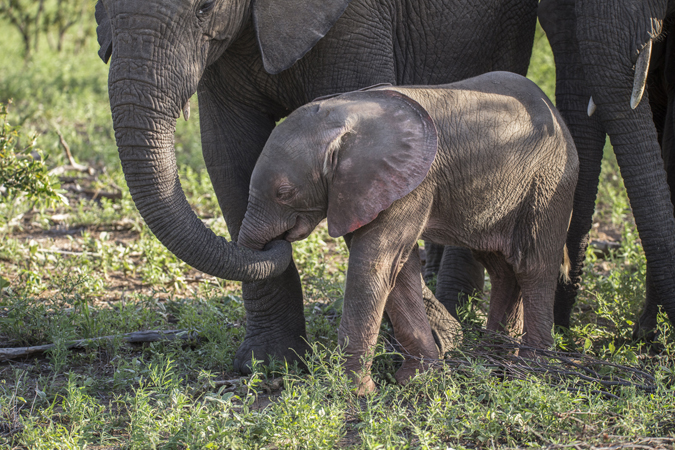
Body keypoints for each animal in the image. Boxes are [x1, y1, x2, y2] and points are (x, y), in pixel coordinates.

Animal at [95, 0, 540, 372]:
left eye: (204, 8)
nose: (276, 238)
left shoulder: (358, 22)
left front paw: (440, 342)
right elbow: (229, 156)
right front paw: (268, 365)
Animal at [236, 71, 576, 394]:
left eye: (284, 193)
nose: (280, 239)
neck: (348, 111)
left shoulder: (410, 183)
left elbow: (373, 264)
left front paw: (351, 392)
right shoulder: (363, 191)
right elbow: (398, 271)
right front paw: (416, 379)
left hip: (549, 183)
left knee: (534, 266)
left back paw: (530, 371)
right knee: (502, 267)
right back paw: (492, 360)